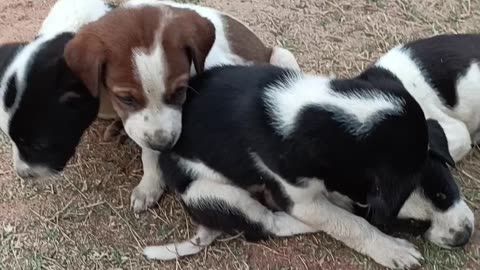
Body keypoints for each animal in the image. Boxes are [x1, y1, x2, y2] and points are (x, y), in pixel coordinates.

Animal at [64, 0, 300, 213]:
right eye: (126, 98)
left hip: (282, 56)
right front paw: (150, 185)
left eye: (179, 91)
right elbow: (148, 149)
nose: (164, 145)